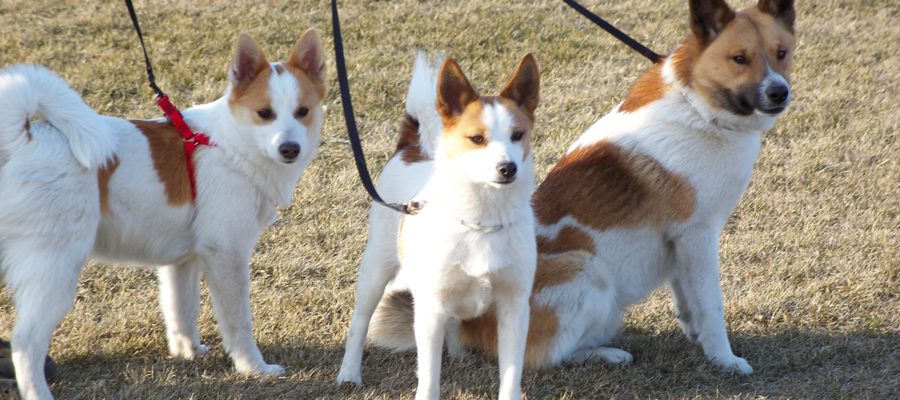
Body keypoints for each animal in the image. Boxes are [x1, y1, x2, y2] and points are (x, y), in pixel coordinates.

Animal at [0, 28, 328, 400]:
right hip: (55, 267)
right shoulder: (226, 253)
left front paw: (189, 352)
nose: (290, 149)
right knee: (26, 343)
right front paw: (253, 368)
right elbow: (238, 321)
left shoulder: (183, 261)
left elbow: (181, 309)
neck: (230, 145)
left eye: (303, 111)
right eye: (264, 113)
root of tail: (23, 140)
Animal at [334, 54, 536, 400]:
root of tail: (409, 149)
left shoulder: (515, 308)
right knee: (359, 321)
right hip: (376, 268)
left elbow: (510, 376)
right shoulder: (429, 310)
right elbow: (429, 377)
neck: (482, 220)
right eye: (477, 139)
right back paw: (349, 372)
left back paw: (457, 351)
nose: (508, 168)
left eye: (518, 135)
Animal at [358, 0, 796, 376]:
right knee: (541, 356)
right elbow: (711, 302)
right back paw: (605, 353)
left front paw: (696, 334)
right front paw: (724, 358)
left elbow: (687, 295)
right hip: (588, 273)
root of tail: (468, 324)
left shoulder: (680, 243)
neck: (699, 109)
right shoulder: (697, 234)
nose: (780, 92)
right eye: (739, 59)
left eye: (782, 53)